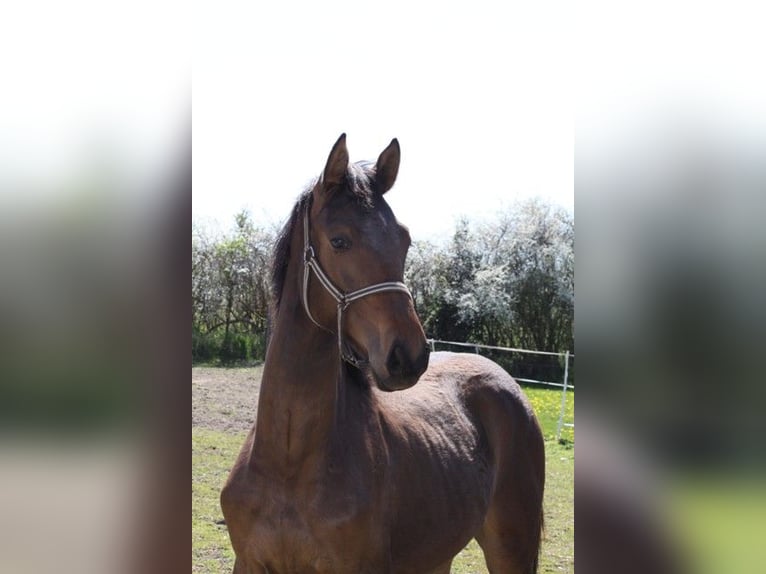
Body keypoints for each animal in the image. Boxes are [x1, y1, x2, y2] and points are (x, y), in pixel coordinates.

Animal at [220, 134, 545, 574]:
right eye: (339, 240)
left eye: (403, 240)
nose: (408, 356)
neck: (288, 461)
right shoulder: (249, 563)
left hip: (512, 546)